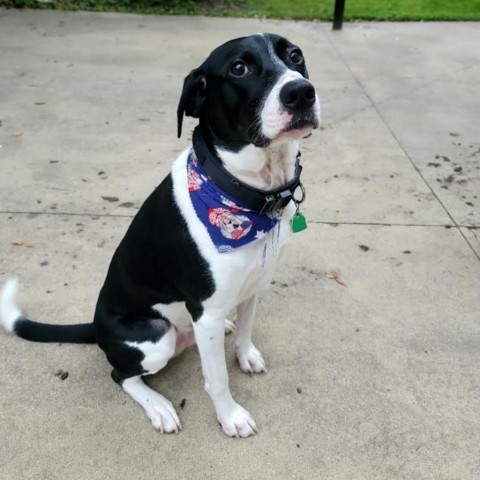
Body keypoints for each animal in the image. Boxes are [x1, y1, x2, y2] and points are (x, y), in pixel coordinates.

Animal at [1, 32, 322, 438]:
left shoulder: (253, 284)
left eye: (295, 55)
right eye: (239, 68)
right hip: (156, 338)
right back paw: (158, 406)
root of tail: (97, 326)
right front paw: (230, 417)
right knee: (121, 374)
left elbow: (247, 329)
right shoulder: (206, 310)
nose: (301, 92)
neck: (246, 192)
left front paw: (246, 354)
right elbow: (217, 378)